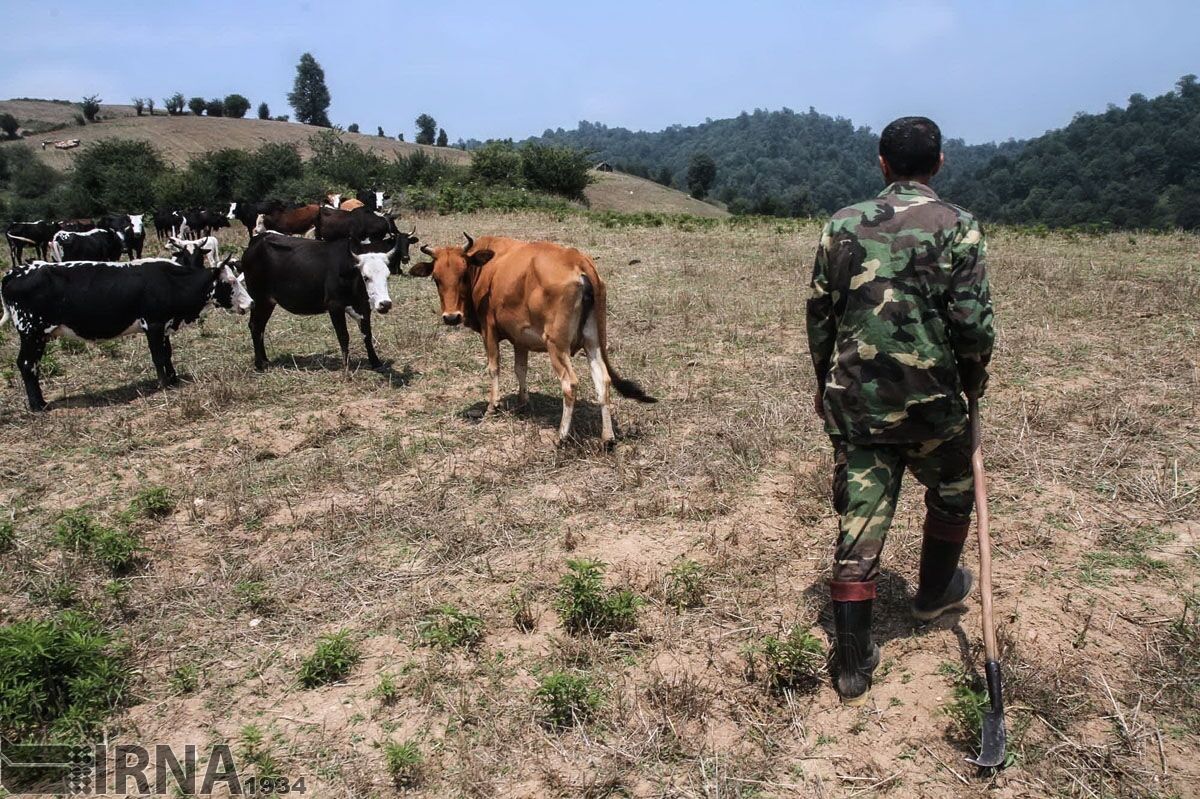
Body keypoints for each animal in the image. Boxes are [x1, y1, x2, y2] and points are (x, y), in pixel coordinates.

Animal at [0, 257, 253, 410]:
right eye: (231, 282)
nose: (250, 303)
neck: (170, 281)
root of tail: (15, 272)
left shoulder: (164, 326)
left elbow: (167, 354)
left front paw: (173, 379)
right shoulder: (153, 324)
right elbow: (158, 356)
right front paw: (163, 384)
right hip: (31, 333)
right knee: (26, 364)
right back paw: (38, 405)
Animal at [241, 230, 405, 367]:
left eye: (387, 276)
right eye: (366, 277)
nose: (385, 304)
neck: (349, 272)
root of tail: (258, 240)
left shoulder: (364, 307)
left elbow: (367, 334)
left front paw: (375, 362)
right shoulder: (335, 306)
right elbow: (343, 336)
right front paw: (346, 368)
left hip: (268, 302)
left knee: (260, 327)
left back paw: (265, 360)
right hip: (259, 298)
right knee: (255, 326)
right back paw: (259, 364)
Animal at [410, 230, 657, 441]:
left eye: (463, 275)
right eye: (436, 278)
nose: (451, 317)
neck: (488, 270)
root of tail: (577, 260)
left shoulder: (489, 330)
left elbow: (494, 367)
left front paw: (492, 406)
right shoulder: (520, 337)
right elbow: (521, 369)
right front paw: (523, 402)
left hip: (556, 345)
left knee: (570, 384)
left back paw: (561, 437)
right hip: (593, 342)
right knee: (602, 381)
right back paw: (608, 438)